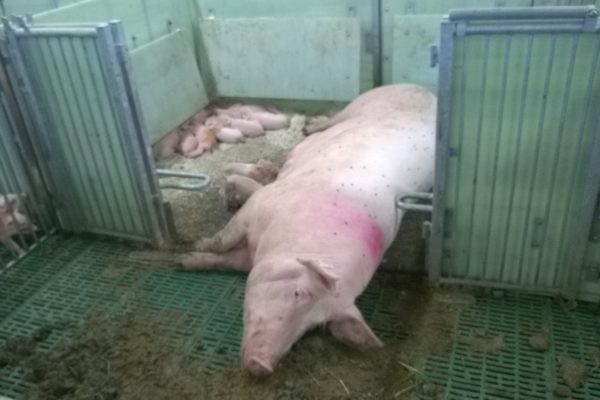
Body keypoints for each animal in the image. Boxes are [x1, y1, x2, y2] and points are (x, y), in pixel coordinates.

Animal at [178, 84, 436, 377]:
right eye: (297, 293)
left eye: (315, 325)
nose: (261, 366)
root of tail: (422, 89)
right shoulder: (259, 205)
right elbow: (223, 239)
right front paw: (193, 247)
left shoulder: (254, 256)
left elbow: (228, 261)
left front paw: (184, 261)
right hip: (361, 104)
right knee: (334, 118)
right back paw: (307, 128)